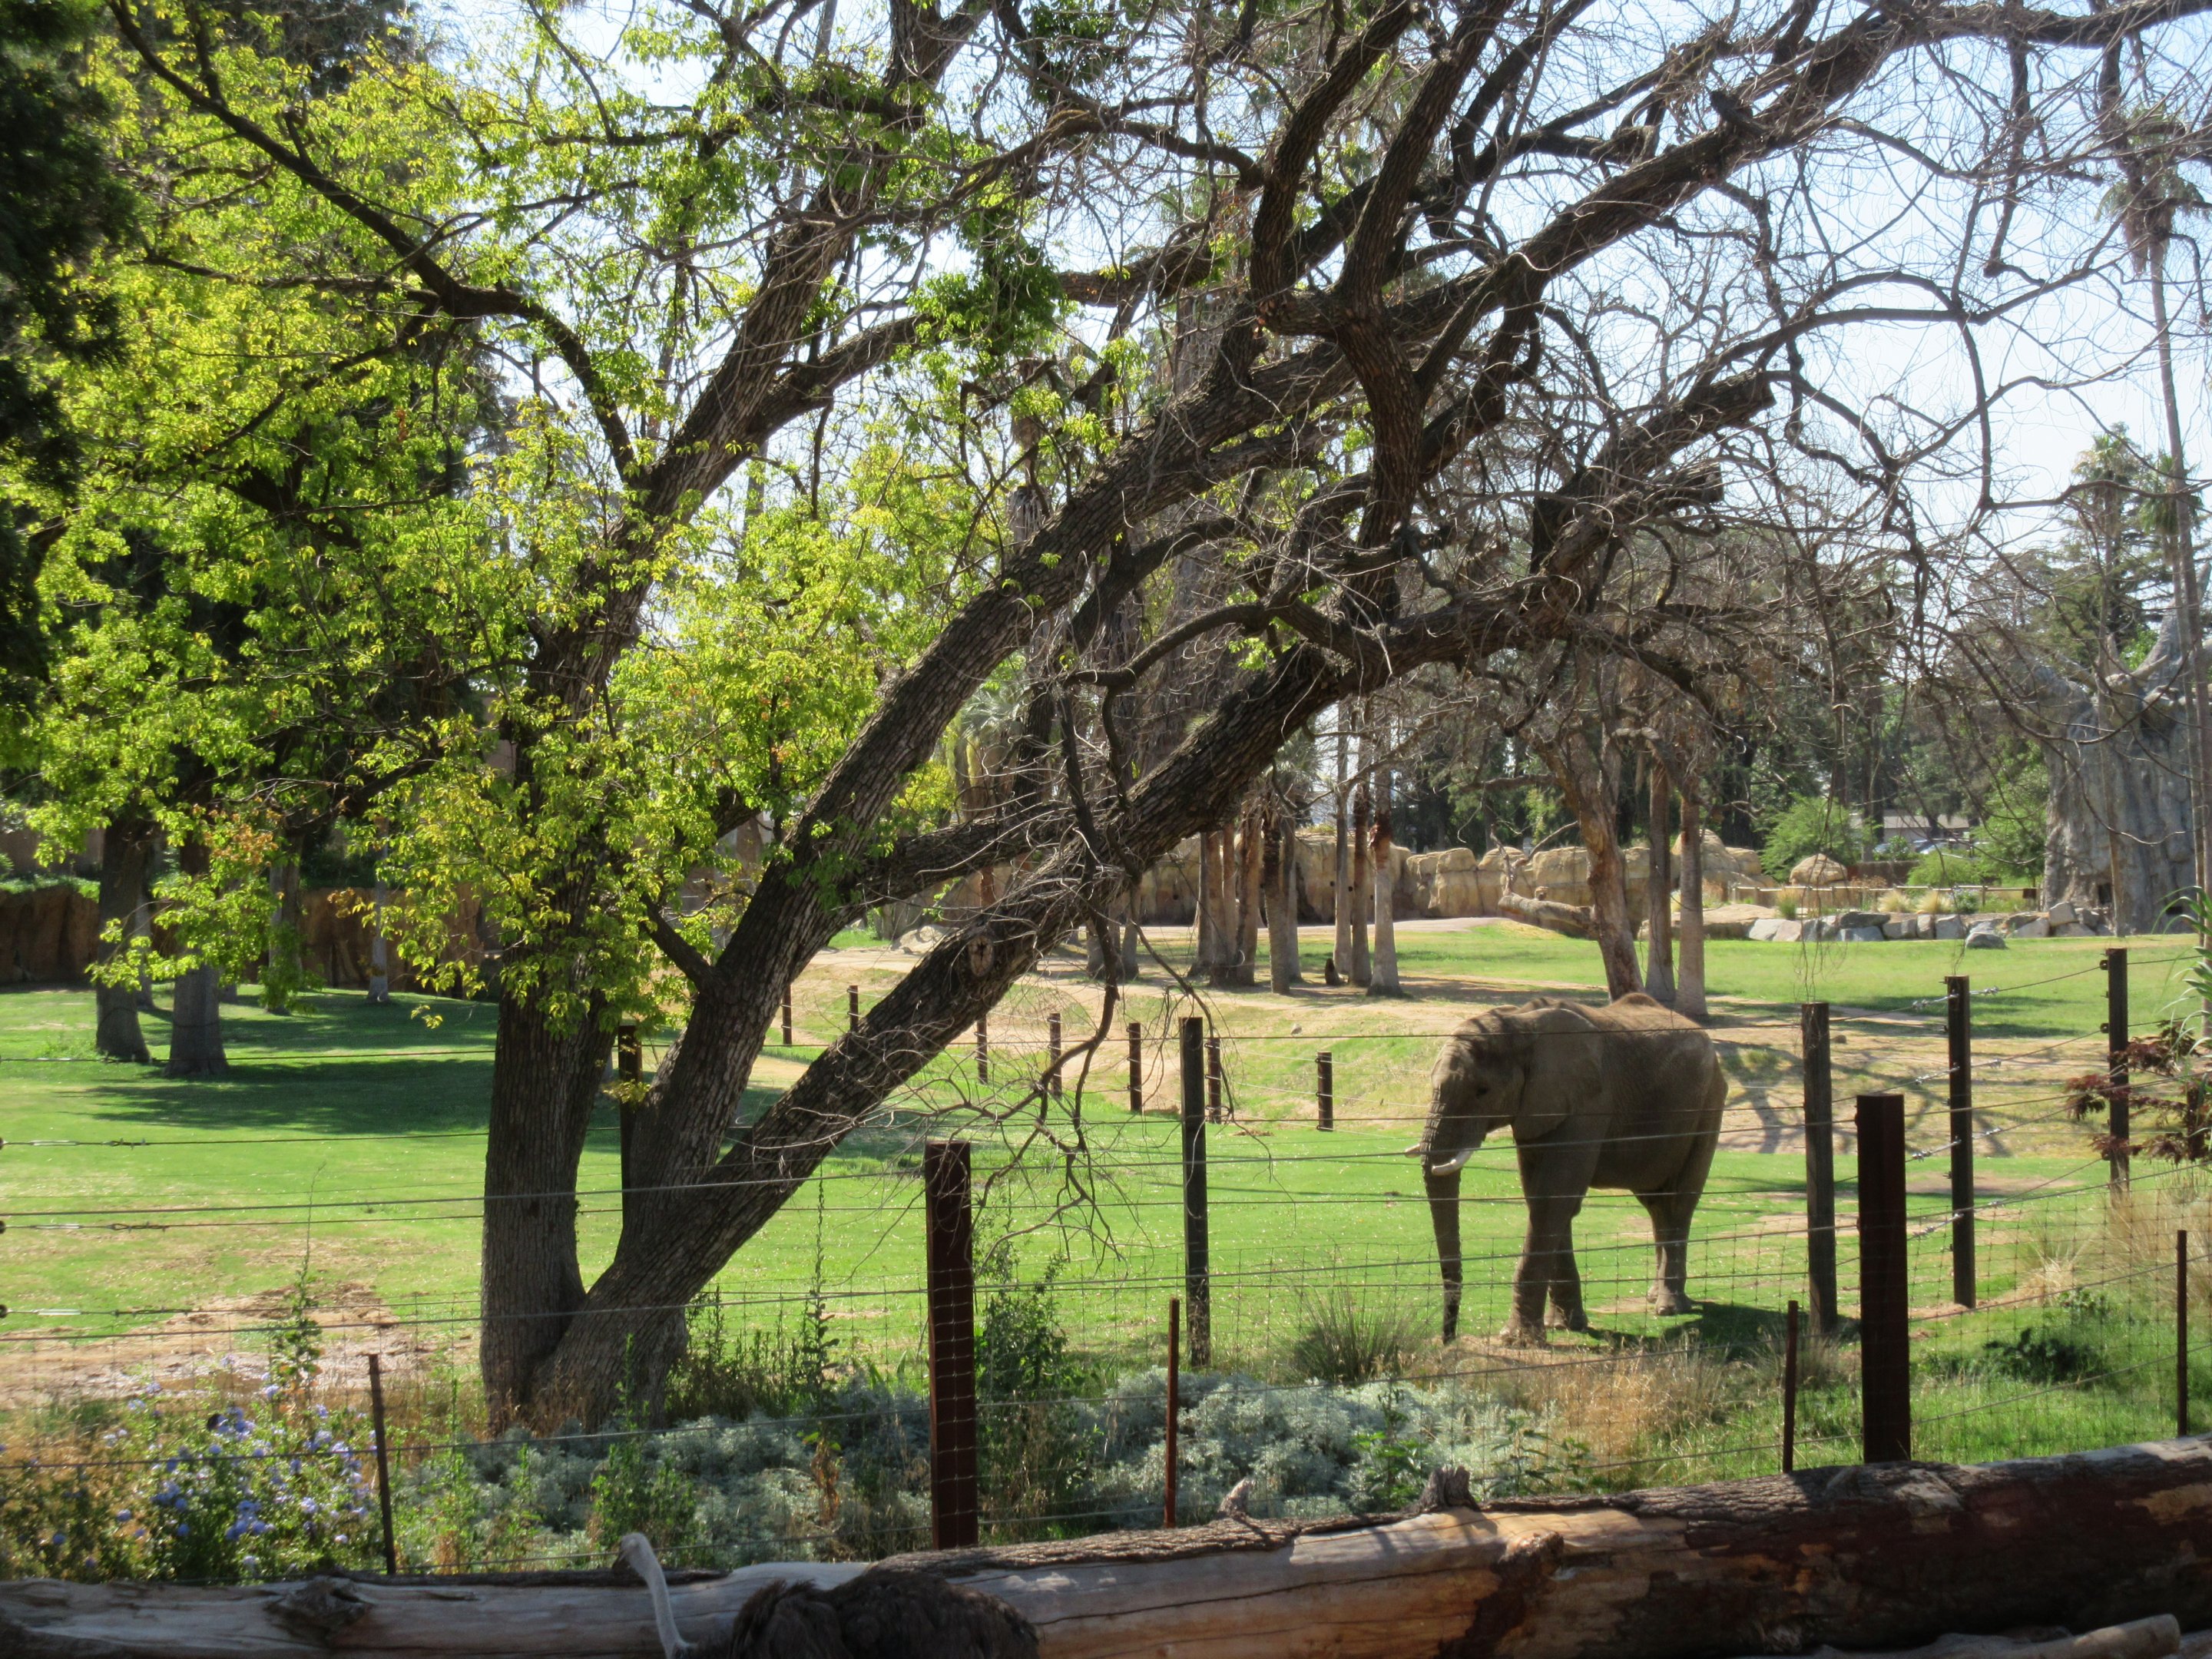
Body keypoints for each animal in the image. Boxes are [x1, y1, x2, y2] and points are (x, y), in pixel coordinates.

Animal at [1412, 993, 1726, 1343]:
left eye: (1482, 1091)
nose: (1447, 1338)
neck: (1520, 1023)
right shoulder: (1537, 1109)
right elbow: (1543, 1198)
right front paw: (1563, 1326)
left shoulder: (1588, 1103)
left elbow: (1553, 1196)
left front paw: (1518, 1340)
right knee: (1657, 1205)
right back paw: (1654, 1298)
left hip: (1710, 1103)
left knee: (1680, 1202)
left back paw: (1669, 1307)